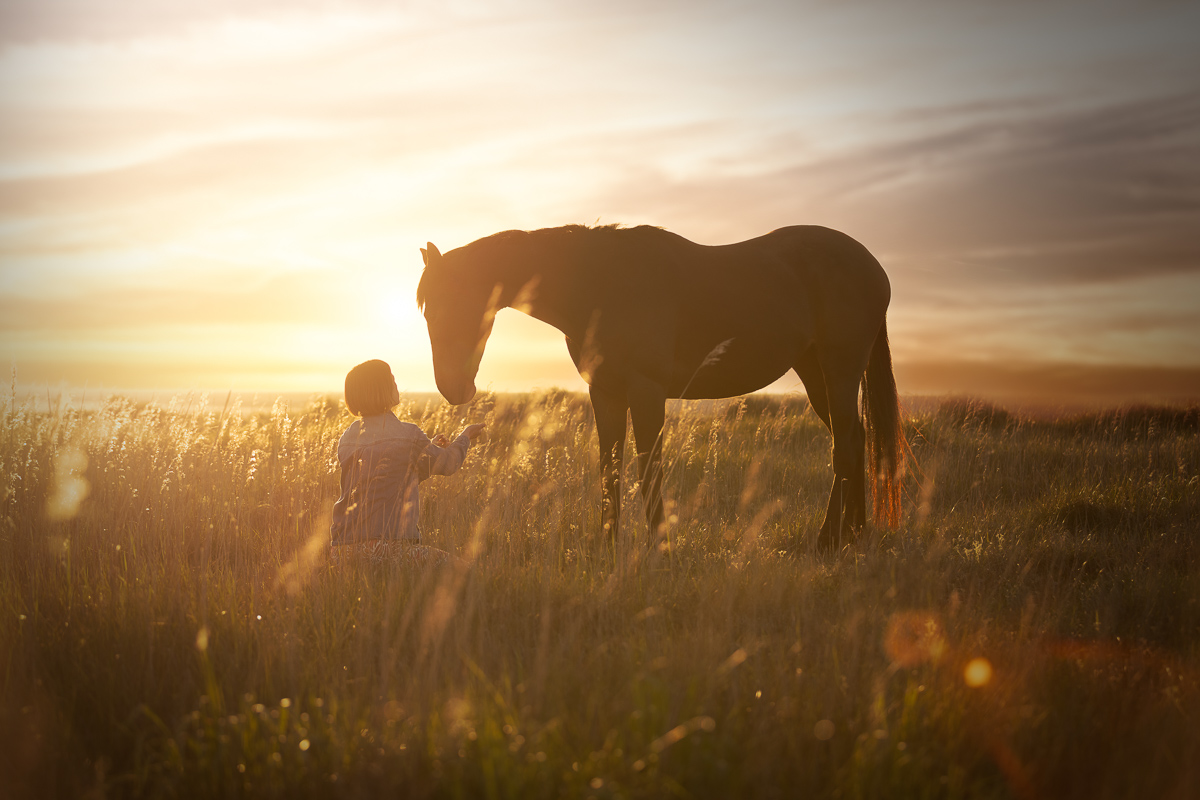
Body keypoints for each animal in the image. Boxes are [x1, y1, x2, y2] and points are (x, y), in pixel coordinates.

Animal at [416, 224, 904, 551]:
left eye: (446, 306)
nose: (454, 389)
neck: (600, 286)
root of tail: (873, 266)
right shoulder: (606, 394)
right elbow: (609, 469)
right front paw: (608, 547)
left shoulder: (647, 392)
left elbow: (648, 468)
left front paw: (659, 547)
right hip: (815, 372)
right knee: (855, 438)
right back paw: (854, 534)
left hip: (839, 370)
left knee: (845, 447)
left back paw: (829, 540)